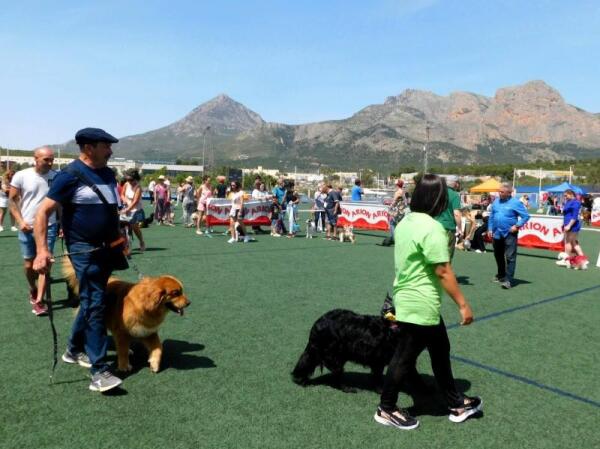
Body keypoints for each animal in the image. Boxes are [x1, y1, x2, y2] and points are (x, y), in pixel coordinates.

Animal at [61, 258, 189, 372]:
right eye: (176, 293)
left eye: (181, 291)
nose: (189, 303)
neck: (145, 306)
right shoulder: (121, 332)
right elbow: (122, 350)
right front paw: (124, 366)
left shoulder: (148, 332)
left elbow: (159, 348)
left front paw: (154, 363)